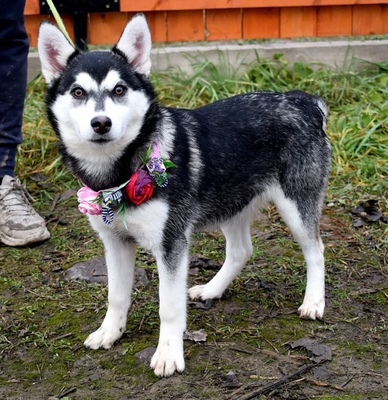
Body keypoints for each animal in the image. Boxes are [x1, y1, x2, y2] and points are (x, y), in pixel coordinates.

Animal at [38, 14, 332, 376]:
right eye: (78, 92)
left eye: (119, 90)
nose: (101, 123)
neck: (121, 171)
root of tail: (302, 101)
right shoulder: (115, 243)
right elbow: (116, 295)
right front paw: (110, 332)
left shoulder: (171, 244)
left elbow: (169, 306)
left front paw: (168, 354)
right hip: (232, 202)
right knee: (241, 250)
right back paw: (212, 289)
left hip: (296, 204)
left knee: (316, 250)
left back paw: (313, 302)